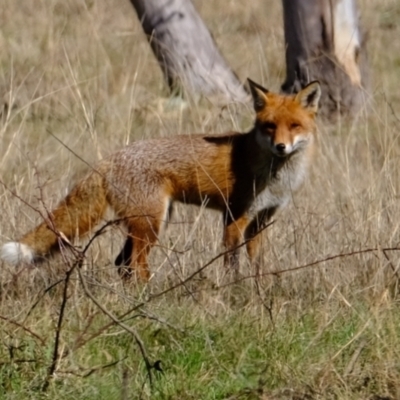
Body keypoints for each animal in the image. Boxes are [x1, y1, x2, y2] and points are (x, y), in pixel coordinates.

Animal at [0, 79, 318, 280]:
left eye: (294, 126)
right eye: (269, 127)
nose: (281, 147)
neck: (275, 176)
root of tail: (110, 158)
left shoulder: (261, 220)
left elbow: (257, 266)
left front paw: (258, 291)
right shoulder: (235, 216)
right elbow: (231, 265)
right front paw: (234, 293)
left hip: (148, 223)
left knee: (122, 265)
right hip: (151, 223)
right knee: (135, 265)